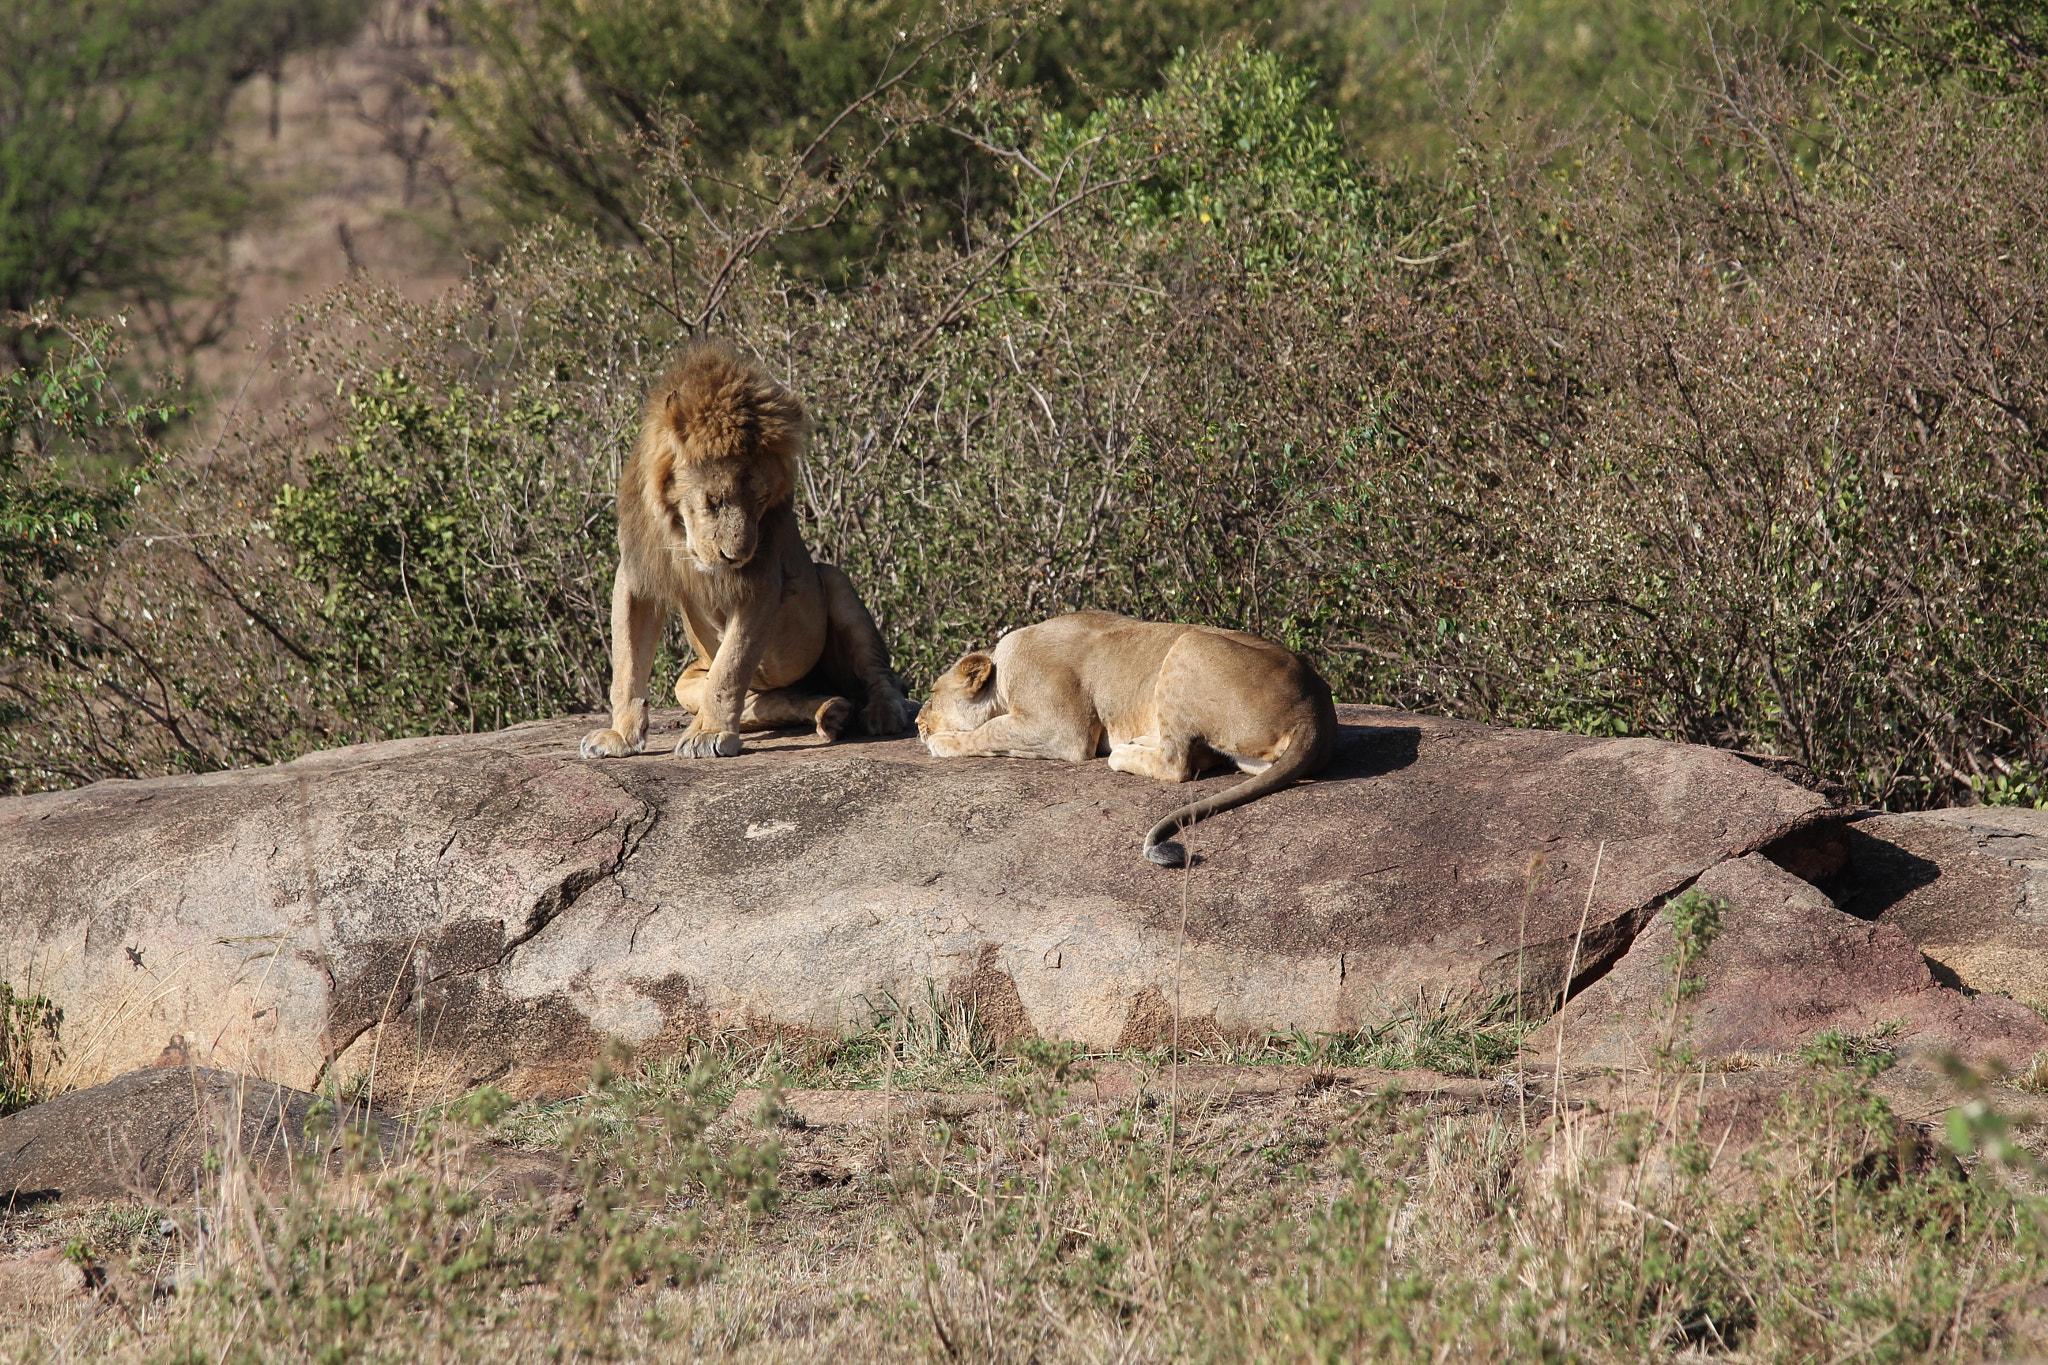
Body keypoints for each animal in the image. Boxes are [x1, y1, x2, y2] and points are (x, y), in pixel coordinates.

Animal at [585, 337, 921, 765]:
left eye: (761, 500)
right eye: (714, 500)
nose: (737, 556)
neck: (680, 533)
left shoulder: (761, 582)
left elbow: (731, 668)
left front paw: (708, 734)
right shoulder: (636, 573)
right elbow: (627, 664)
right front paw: (620, 736)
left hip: (835, 580)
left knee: (880, 677)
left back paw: (880, 713)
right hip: (688, 683)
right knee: (770, 702)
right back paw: (831, 712)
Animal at [917, 609, 1335, 863]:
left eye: (932, 694)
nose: (917, 722)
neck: (1002, 673)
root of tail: (1315, 709)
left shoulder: (1063, 731)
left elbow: (987, 731)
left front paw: (942, 742)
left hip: (1188, 645)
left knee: (1176, 764)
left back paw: (1123, 753)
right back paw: (1138, 741)